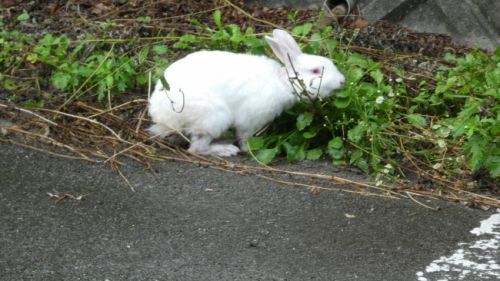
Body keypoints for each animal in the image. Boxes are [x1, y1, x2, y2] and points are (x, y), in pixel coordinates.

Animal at [148, 29, 344, 156]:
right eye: (315, 71)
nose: (342, 81)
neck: (282, 82)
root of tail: (161, 115)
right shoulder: (249, 120)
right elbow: (244, 137)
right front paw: (249, 149)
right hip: (213, 117)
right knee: (197, 148)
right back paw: (226, 149)